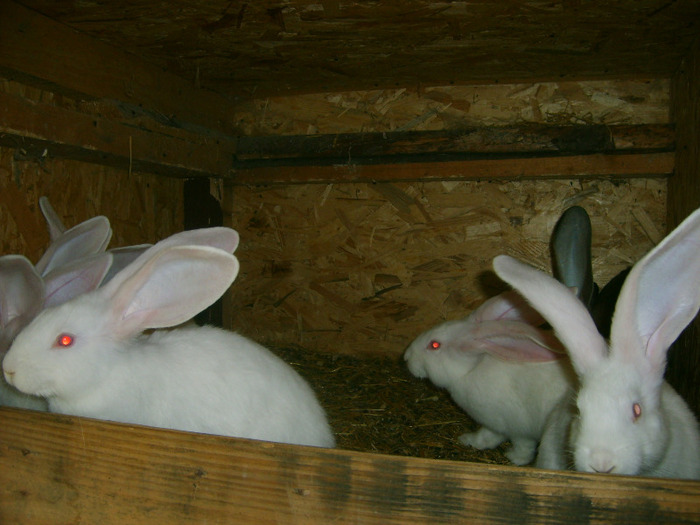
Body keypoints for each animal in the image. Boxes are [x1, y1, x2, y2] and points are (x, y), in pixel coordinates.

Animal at [402, 288, 576, 464]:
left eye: (434, 345)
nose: (406, 358)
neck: (471, 370)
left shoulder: (510, 426)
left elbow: (506, 441)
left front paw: (510, 456)